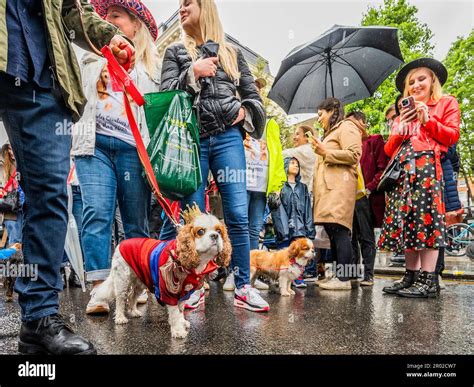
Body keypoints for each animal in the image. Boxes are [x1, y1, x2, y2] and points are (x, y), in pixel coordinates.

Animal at [91, 209, 231, 340]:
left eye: (219, 231)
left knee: (131, 296)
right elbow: (175, 312)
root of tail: (121, 243)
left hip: (139, 281)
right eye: (200, 231)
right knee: (120, 299)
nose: (215, 236)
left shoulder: (183, 292)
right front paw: (178, 330)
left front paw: (182, 322)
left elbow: (180, 309)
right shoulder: (169, 290)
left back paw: (134, 311)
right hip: (122, 280)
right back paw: (120, 318)